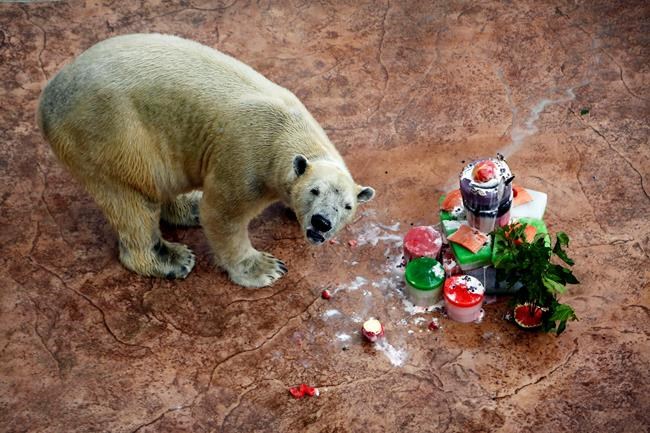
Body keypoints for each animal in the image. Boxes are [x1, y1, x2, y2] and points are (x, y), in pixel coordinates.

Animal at [37, 33, 375, 288]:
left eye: (347, 207)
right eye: (314, 191)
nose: (321, 222)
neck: (287, 129)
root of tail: (47, 99)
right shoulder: (247, 157)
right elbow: (223, 214)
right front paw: (266, 268)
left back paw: (189, 206)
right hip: (110, 135)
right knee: (132, 198)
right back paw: (172, 258)